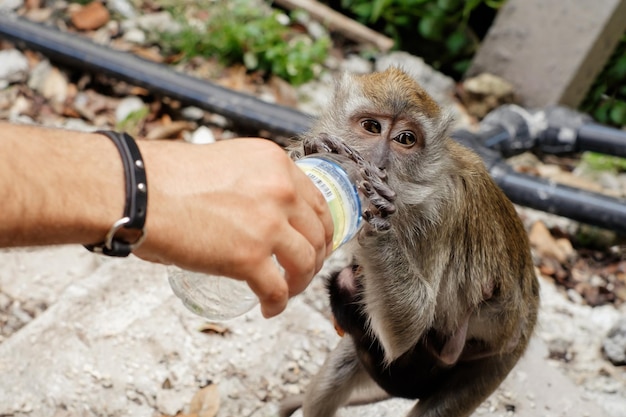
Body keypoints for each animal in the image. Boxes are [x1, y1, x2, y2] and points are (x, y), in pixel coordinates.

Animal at [280, 68, 540, 416]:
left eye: (406, 139)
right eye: (372, 127)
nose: (378, 163)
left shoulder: (443, 214)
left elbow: (412, 323)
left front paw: (380, 223)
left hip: (499, 358)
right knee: (333, 375)